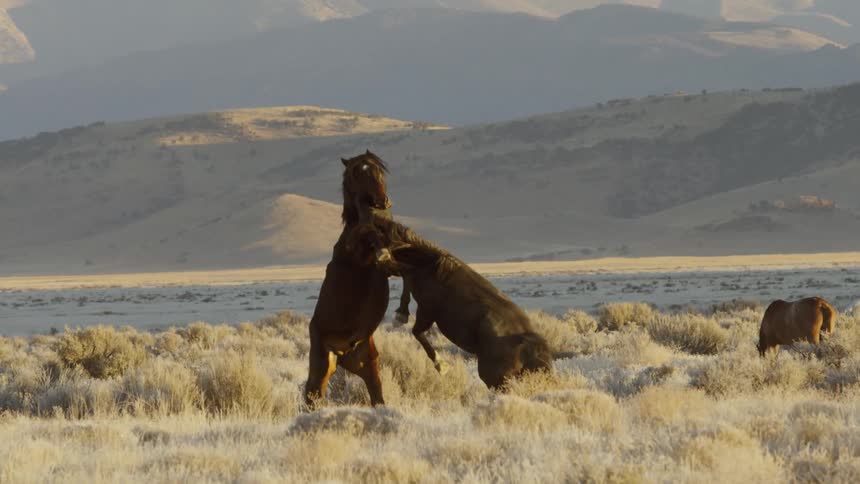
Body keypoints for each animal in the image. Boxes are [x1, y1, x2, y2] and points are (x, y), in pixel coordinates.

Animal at [303, 150, 396, 407]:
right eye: (357, 173)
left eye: (379, 170)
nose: (382, 201)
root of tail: (344, 352)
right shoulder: (357, 253)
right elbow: (368, 236)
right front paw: (381, 250)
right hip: (322, 361)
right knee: (312, 393)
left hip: (367, 364)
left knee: (376, 394)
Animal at [352, 216, 553, 389]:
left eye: (373, 235)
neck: (432, 265)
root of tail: (532, 348)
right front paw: (401, 313)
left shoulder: (427, 311)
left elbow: (417, 332)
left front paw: (441, 365)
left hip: (494, 379)